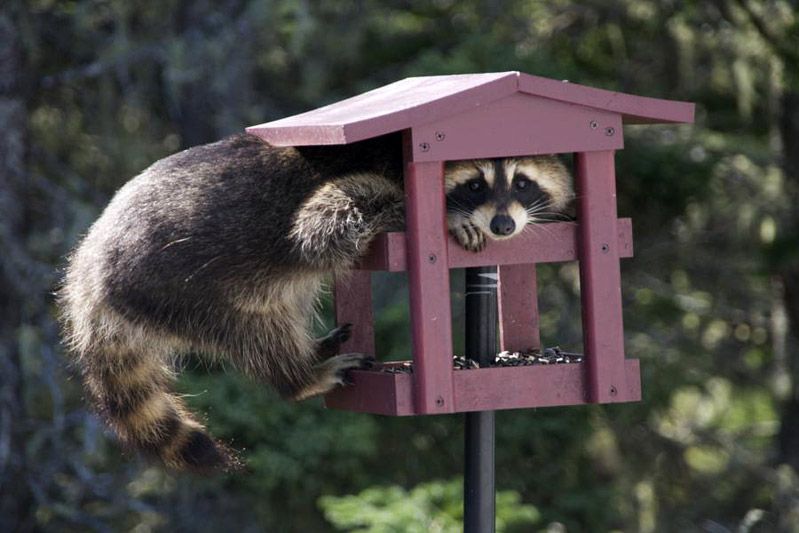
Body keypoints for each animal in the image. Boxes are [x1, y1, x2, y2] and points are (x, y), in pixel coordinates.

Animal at [59, 132, 572, 470]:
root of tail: (86, 274)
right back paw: (298, 376)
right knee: (255, 327)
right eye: (475, 184)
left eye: (522, 182)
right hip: (173, 284)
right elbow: (323, 227)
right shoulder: (361, 178)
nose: (504, 225)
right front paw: (440, 217)